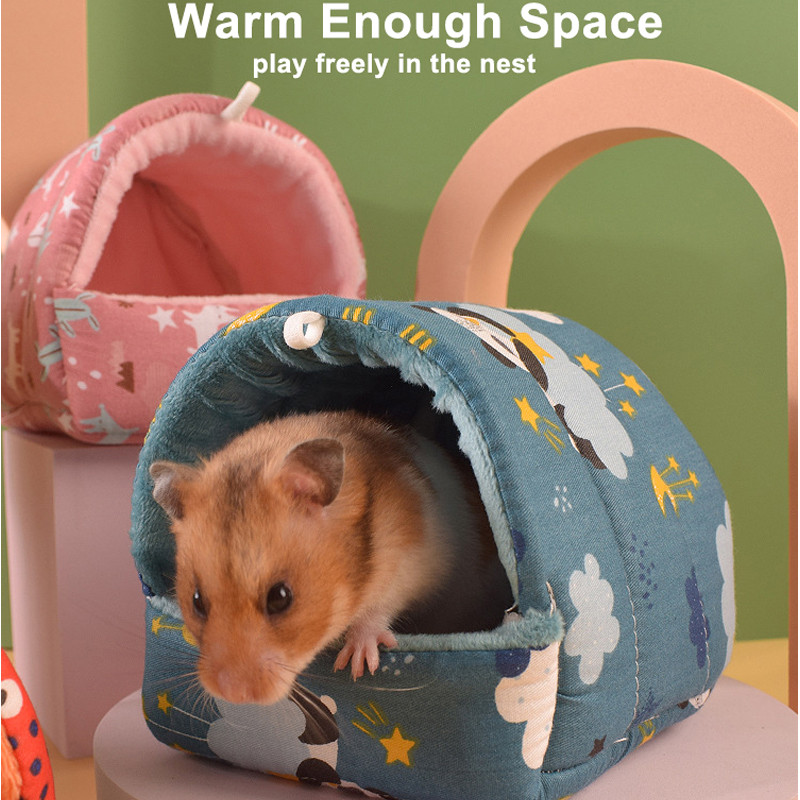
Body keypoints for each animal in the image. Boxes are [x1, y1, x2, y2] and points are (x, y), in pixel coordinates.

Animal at [150, 410, 513, 706]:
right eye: (196, 601)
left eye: (281, 597)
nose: (231, 694)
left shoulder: (409, 561)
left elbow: (378, 610)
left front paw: (356, 666)